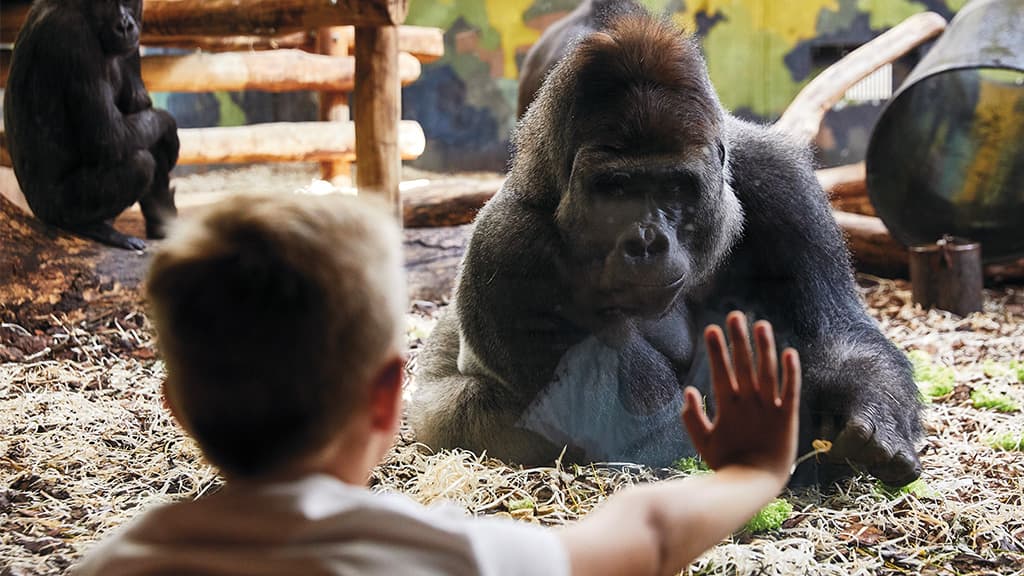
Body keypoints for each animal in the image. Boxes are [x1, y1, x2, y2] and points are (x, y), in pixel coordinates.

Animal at [4, 0, 179, 250]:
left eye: (128, 2)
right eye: (106, 4)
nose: (124, 25)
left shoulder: (131, 48)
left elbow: (139, 110)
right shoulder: (75, 39)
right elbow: (110, 136)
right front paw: (168, 124)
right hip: (56, 209)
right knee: (139, 164)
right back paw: (92, 228)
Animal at [410, 11, 923, 487]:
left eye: (675, 187)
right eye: (615, 190)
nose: (646, 242)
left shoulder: (779, 176)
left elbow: (836, 335)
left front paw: (870, 412)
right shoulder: (508, 248)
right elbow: (662, 435)